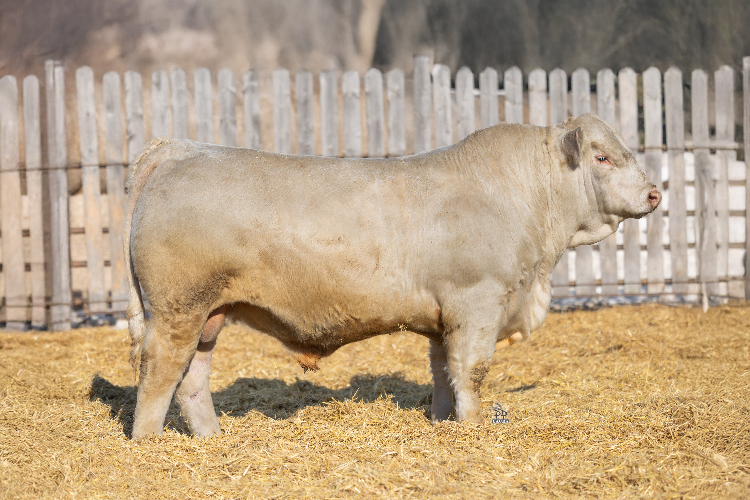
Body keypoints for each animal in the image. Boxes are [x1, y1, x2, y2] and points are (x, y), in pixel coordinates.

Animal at [124, 113, 660, 439]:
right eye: (602, 156)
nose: (655, 193)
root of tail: (179, 149)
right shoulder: (477, 301)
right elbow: (472, 370)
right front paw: (474, 428)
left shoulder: (446, 317)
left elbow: (444, 372)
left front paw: (445, 424)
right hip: (178, 307)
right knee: (160, 371)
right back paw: (150, 442)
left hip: (209, 314)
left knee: (192, 378)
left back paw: (211, 439)